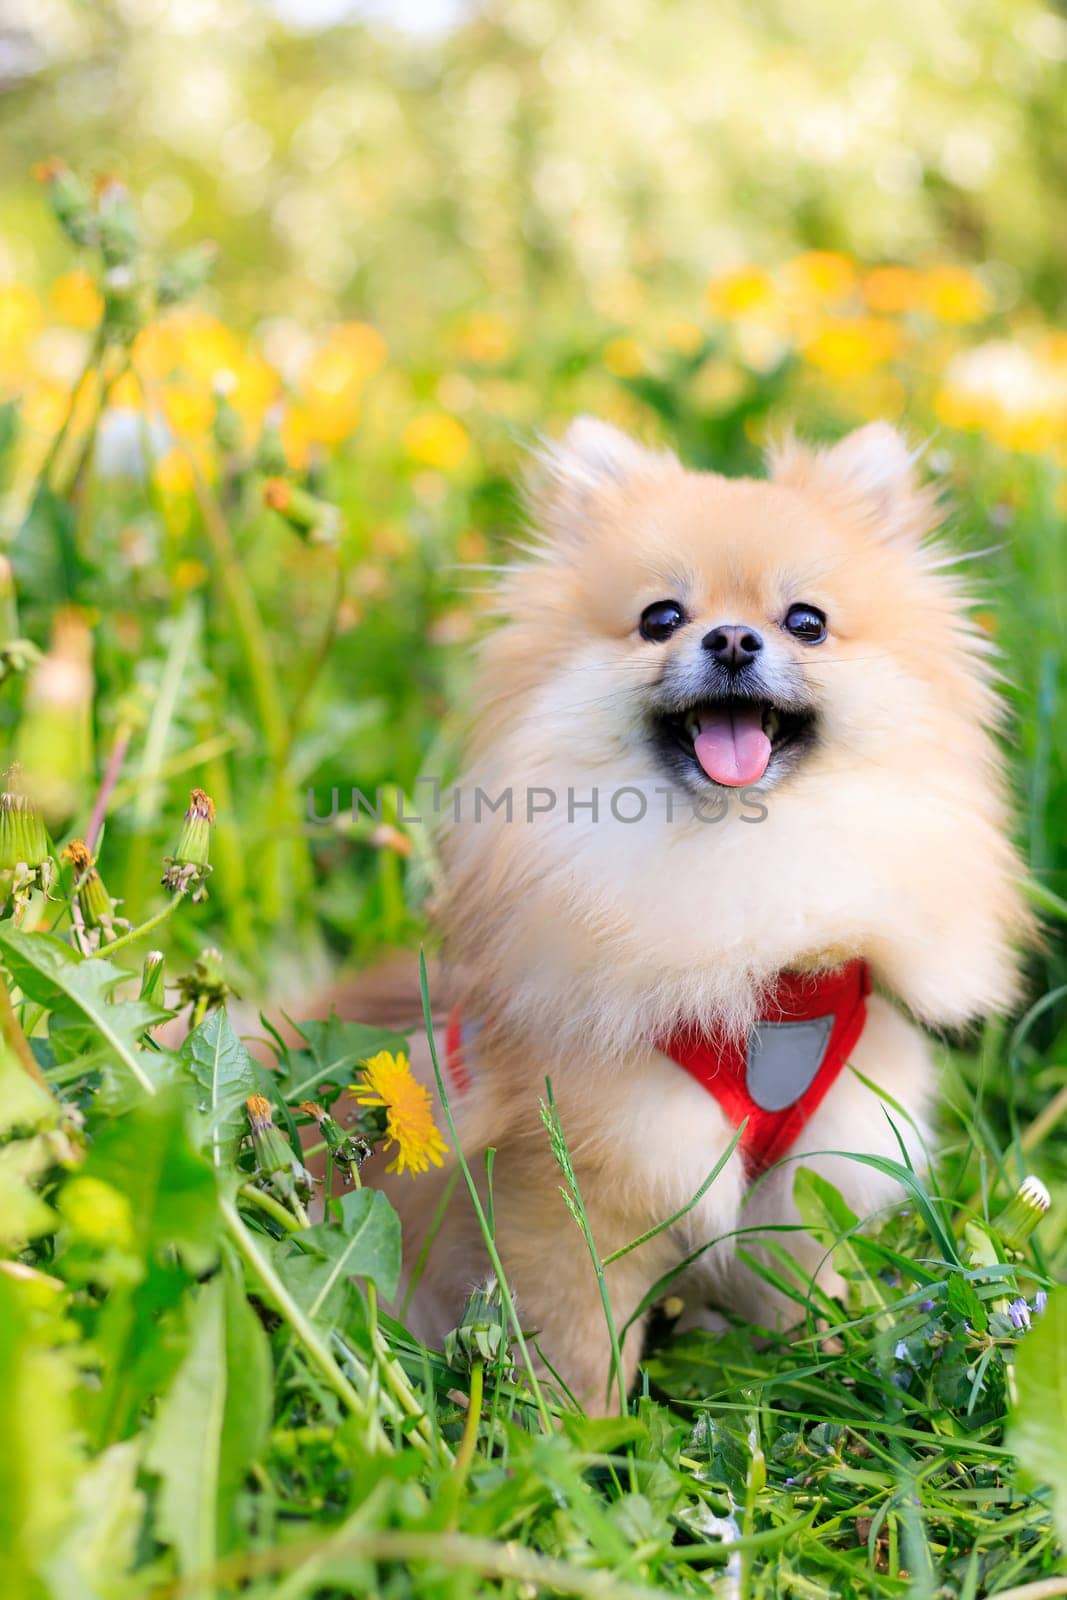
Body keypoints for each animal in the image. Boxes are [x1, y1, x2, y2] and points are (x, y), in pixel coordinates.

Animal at [364, 416, 1023, 1414]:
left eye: (806, 622)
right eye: (660, 618)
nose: (732, 638)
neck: (739, 872)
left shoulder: (806, 1180)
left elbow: (799, 1301)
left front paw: (814, 1381)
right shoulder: (575, 1191)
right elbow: (580, 1342)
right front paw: (579, 1436)